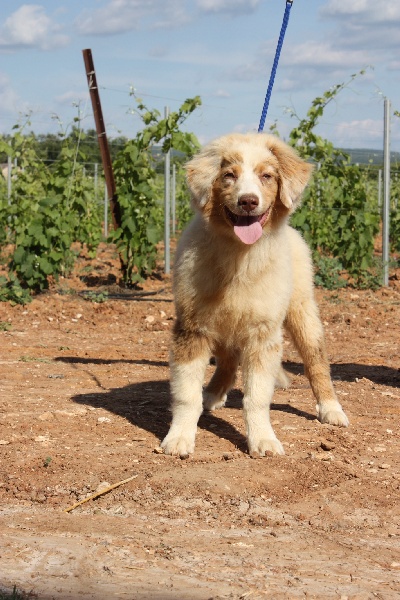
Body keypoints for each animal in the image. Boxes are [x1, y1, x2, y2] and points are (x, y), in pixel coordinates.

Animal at [161, 131, 348, 458]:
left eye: (266, 176)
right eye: (229, 176)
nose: (248, 201)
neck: (240, 256)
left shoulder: (263, 335)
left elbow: (257, 398)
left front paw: (263, 440)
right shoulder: (192, 328)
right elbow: (186, 395)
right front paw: (179, 437)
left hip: (302, 313)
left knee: (317, 364)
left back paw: (331, 409)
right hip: (223, 327)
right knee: (228, 362)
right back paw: (212, 395)